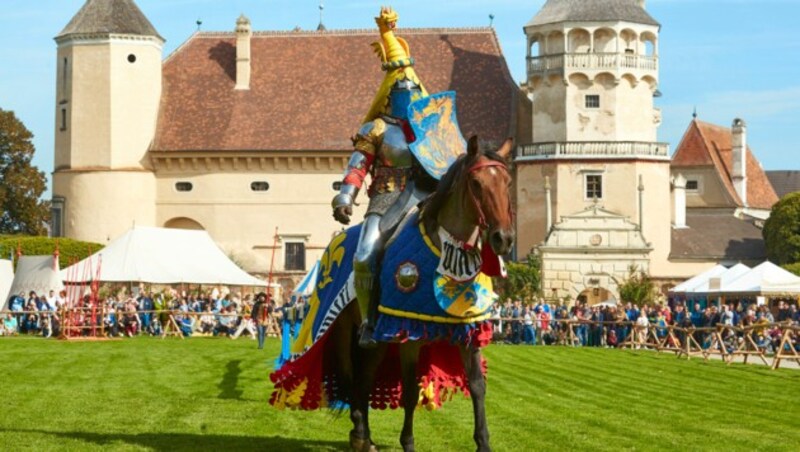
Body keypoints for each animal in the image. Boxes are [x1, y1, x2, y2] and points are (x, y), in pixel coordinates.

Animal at [330, 136, 512, 450]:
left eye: (507, 182)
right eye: (476, 183)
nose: (504, 238)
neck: (445, 247)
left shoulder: (467, 331)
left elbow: (477, 386)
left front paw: (483, 442)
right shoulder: (406, 332)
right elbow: (410, 392)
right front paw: (408, 442)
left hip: (379, 344)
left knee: (364, 377)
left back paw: (364, 435)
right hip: (350, 331)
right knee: (356, 375)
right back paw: (361, 434)